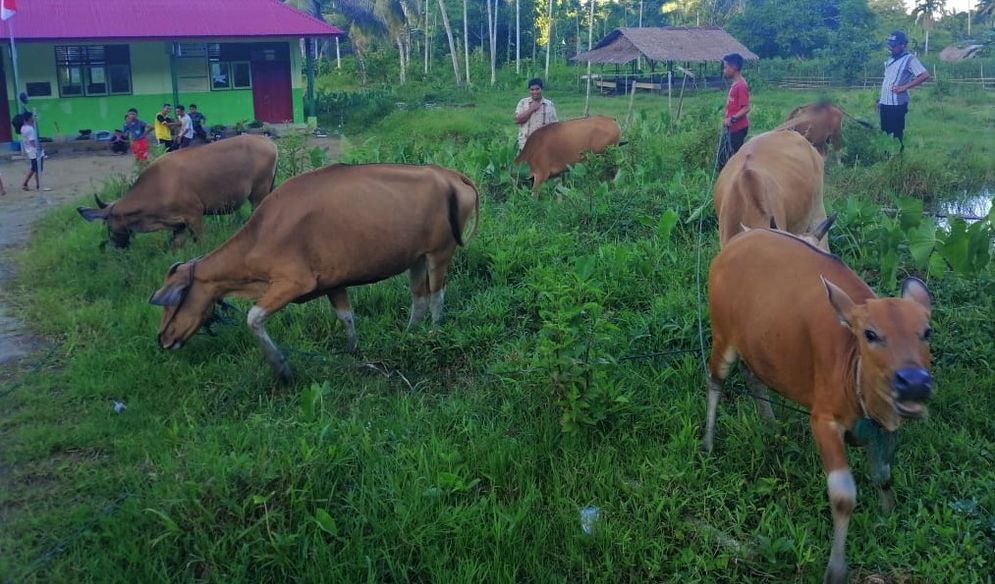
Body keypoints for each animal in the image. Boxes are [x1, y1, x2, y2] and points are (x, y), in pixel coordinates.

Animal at [75, 133, 278, 248]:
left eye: (108, 225)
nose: (115, 246)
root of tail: (269, 142)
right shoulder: (178, 225)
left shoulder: (194, 215)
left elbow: (200, 242)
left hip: (259, 191)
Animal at [148, 163, 482, 384]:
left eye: (172, 301)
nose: (162, 339)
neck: (264, 232)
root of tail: (450, 175)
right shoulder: (334, 283)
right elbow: (346, 318)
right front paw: (351, 352)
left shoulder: (292, 283)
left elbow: (253, 318)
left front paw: (282, 368)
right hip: (417, 258)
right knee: (419, 298)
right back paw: (408, 334)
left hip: (440, 252)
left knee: (437, 297)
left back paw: (433, 333)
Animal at [704, 227, 928, 584]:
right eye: (870, 334)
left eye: (927, 332)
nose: (915, 382)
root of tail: (739, 238)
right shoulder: (823, 420)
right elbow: (843, 495)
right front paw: (835, 569)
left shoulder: (885, 428)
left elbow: (883, 474)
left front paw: (889, 514)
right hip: (722, 336)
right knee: (715, 380)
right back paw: (708, 443)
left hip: (756, 344)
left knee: (754, 376)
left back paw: (770, 425)